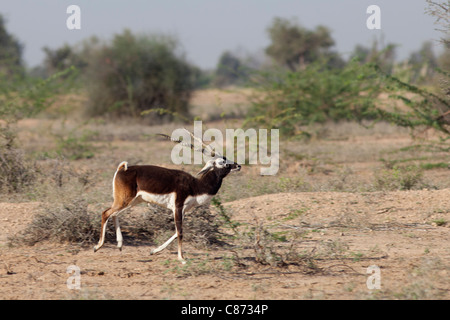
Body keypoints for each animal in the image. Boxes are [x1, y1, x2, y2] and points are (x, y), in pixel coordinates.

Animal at [93, 129, 241, 264]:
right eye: (222, 162)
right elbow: (180, 232)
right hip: (125, 200)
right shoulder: (178, 207)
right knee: (106, 213)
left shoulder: (183, 210)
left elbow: (176, 232)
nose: (238, 165)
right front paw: (182, 258)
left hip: (132, 201)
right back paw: (97, 246)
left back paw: (119, 244)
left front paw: (154, 251)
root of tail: (122, 169)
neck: (195, 185)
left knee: (114, 214)